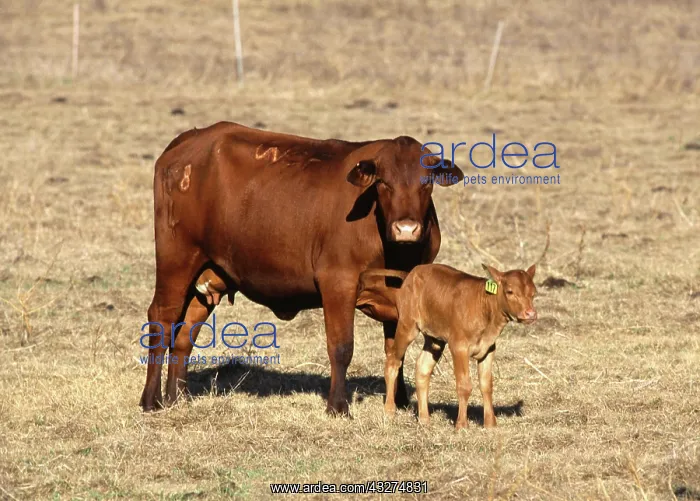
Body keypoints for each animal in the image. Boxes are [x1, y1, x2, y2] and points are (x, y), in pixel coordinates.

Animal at [139, 121, 464, 415]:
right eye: (384, 183)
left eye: (426, 182)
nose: (406, 228)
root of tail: (191, 138)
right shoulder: (338, 283)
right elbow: (341, 347)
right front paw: (338, 406)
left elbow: (396, 348)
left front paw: (399, 402)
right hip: (177, 260)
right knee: (162, 320)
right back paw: (151, 400)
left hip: (209, 274)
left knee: (185, 334)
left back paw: (177, 398)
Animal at [357, 263, 538, 429]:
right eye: (510, 291)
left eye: (533, 293)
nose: (530, 313)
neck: (484, 306)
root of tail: (412, 273)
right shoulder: (459, 347)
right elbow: (464, 385)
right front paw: (462, 425)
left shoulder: (489, 349)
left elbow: (486, 385)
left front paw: (490, 424)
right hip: (407, 325)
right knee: (393, 361)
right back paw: (389, 410)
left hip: (434, 339)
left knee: (422, 368)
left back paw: (424, 419)